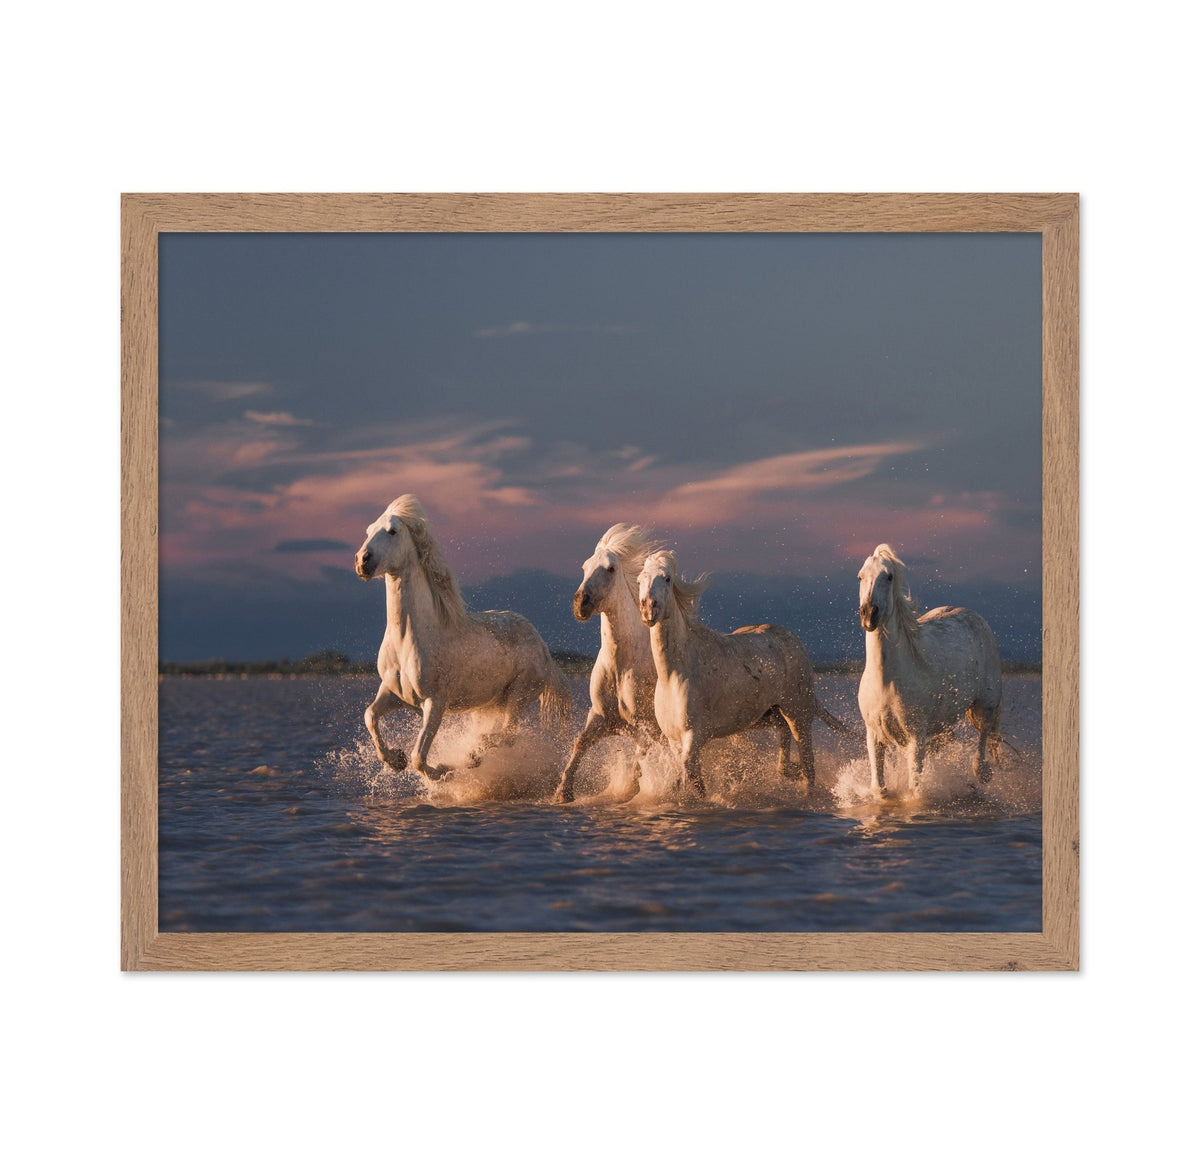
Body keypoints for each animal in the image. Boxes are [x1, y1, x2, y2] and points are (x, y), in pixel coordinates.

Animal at [354, 495, 571, 778]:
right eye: (369, 530)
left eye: (392, 531)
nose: (362, 561)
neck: (408, 640)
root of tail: (544, 648)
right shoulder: (393, 694)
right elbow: (370, 715)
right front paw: (394, 759)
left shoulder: (435, 702)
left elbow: (419, 757)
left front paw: (442, 771)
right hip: (490, 704)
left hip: (518, 695)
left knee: (509, 734)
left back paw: (473, 756)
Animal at [553, 523, 664, 803]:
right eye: (584, 566)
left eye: (610, 568)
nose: (580, 603)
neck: (621, 666)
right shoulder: (602, 717)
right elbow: (580, 743)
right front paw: (562, 793)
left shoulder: (647, 725)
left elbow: (642, 756)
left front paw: (634, 790)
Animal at [637, 550, 846, 797]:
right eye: (639, 580)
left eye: (667, 579)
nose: (648, 609)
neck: (675, 673)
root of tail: (794, 640)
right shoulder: (674, 740)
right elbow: (682, 774)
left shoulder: (695, 735)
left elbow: (692, 774)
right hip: (767, 715)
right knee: (784, 735)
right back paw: (787, 771)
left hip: (798, 713)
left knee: (808, 762)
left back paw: (805, 790)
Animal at [856, 543, 1004, 797]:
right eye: (860, 576)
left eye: (889, 576)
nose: (869, 615)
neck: (886, 680)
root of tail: (974, 615)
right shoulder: (874, 735)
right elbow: (879, 788)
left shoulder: (916, 736)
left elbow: (915, 788)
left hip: (985, 703)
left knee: (984, 734)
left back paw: (981, 772)